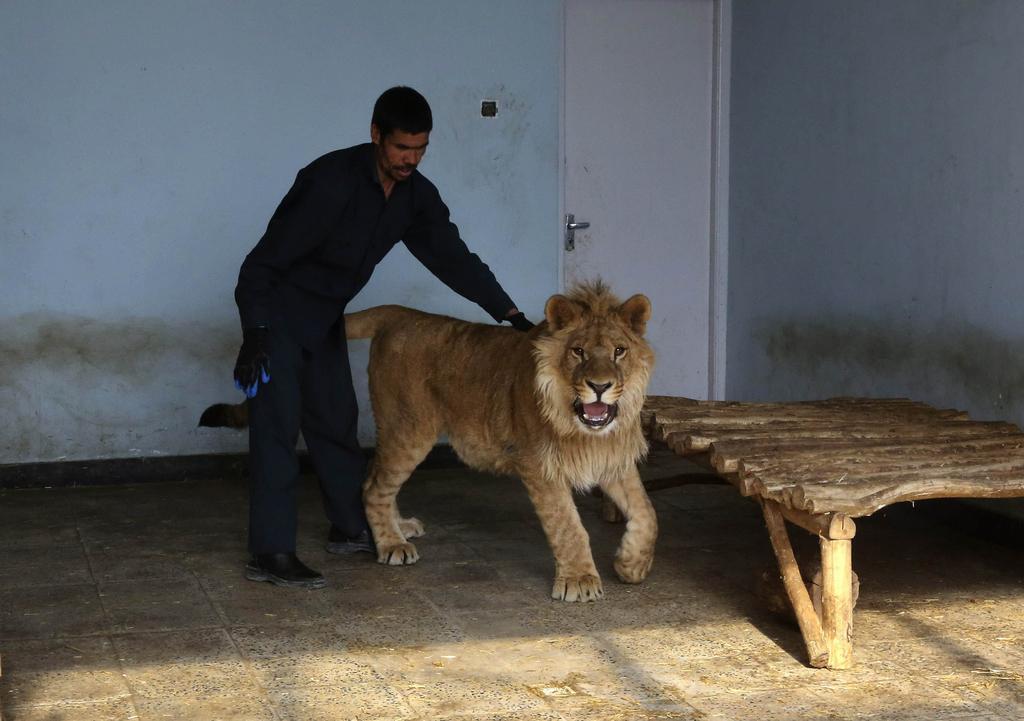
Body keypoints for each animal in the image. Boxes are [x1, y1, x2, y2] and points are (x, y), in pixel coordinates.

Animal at [203, 282, 659, 602]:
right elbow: (568, 526)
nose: (599, 387)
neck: (585, 428)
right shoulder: (538, 464)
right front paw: (580, 580)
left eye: (619, 351)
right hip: (412, 427)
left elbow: (648, 513)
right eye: (578, 351)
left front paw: (631, 565)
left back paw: (398, 528)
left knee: (374, 478)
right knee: (374, 485)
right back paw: (390, 544)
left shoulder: (613, 460)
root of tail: (399, 314)